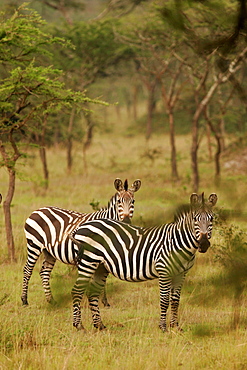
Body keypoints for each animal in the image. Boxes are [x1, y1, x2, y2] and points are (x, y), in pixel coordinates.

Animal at [21, 177, 141, 306]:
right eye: (119, 201)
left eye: (133, 201)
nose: (127, 221)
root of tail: (37, 210)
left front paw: (104, 302)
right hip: (34, 244)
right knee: (27, 270)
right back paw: (24, 300)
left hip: (49, 251)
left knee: (44, 272)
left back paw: (51, 300)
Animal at [70, 192, 218, 330]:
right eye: (195, 219)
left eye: (211, 219)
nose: (204, 244)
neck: (178, 242)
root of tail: (82, 226)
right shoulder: (164, 270)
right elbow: (164, 300)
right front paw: (163, 327)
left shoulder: (181, 274)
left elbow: (175, 301)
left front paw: (175, 326)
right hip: (88, 262)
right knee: (77, 291)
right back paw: (79, 326)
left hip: (100, 266)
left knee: (92, 293)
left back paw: (99, 325)